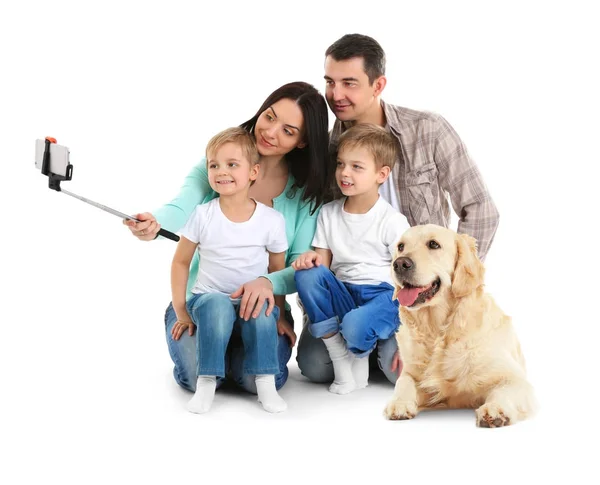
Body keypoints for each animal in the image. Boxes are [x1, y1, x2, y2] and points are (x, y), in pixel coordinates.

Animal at [384, 225, 536, 426]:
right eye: (401, 246)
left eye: (433, 244)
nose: (400, 264)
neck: (438, 331)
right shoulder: (412, 374)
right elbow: (403, 383)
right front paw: (399, 403)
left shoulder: (515, 378)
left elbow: (504, 389)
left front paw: (495, 409)